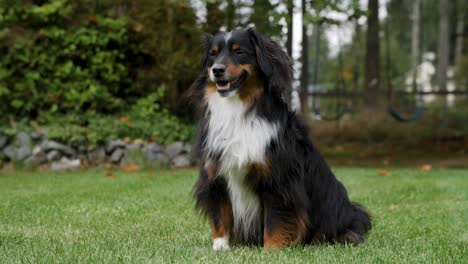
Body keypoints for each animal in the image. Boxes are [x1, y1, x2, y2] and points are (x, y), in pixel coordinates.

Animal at [190, 27, 370, 251]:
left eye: (239, 52)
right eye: (212, 55)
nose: (217, 70)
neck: (238, 111)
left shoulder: (278, 179)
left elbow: (275, 219)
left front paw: (272, 249)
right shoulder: (215, 175)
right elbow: (219, 215)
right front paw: (220, 248)